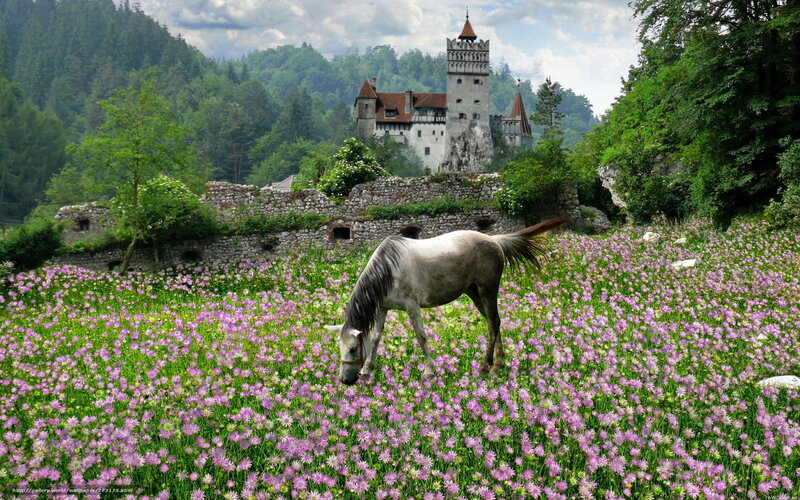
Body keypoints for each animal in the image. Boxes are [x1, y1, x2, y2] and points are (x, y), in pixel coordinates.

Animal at [326, 217, 567, 385]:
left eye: (353, 348)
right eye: (340, 347)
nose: (345, 381)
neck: (388, 270)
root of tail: (494, 240)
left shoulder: (412, 307)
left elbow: (421, 336)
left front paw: (429, 370)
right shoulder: (383, 308)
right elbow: (376, 338)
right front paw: (368, 370)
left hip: (487, 290)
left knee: (494, 323)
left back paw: (485, 366)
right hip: (474, 293)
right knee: (494, 323)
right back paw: (499, 364)